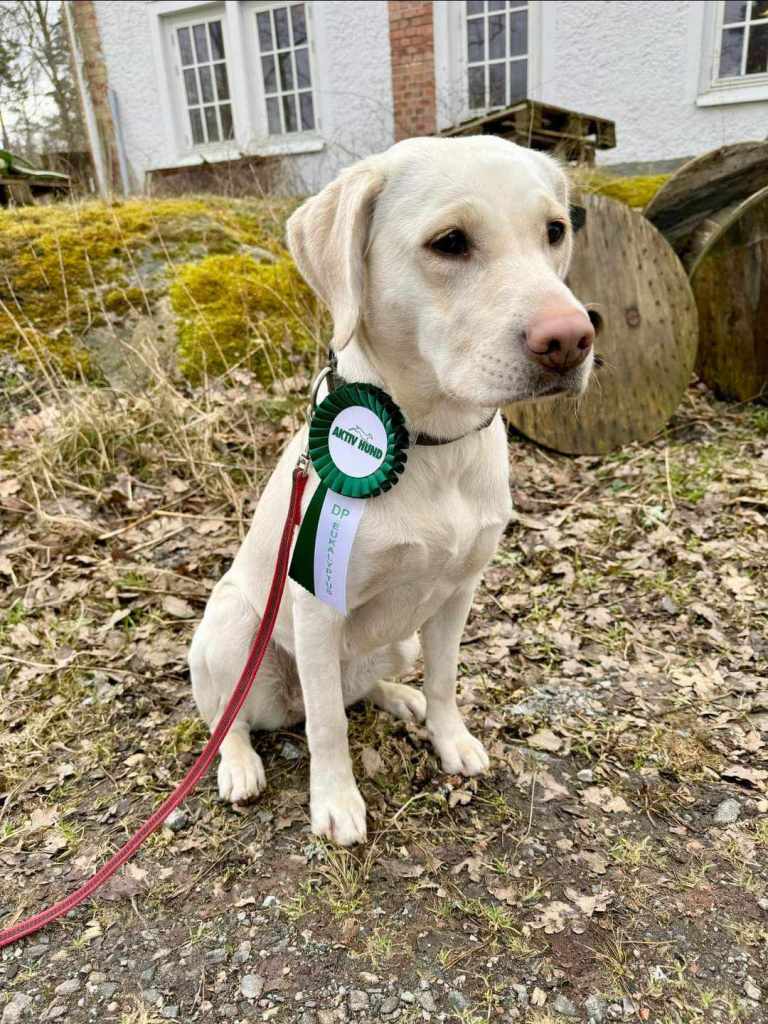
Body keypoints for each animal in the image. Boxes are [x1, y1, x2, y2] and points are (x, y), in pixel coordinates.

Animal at [189, 136, 594, 846]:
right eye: (450, 242)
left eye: (554, 231)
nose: (572, 339)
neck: (431, 443)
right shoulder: (315, 606)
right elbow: (327, 724)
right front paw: (336, 801)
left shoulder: (458, 593)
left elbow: (445, 679)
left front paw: (448, 736)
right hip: (233, 625)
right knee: (231, 716)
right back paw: (237, 764)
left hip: (393, 640)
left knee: (355, 689)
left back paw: (399, 698)